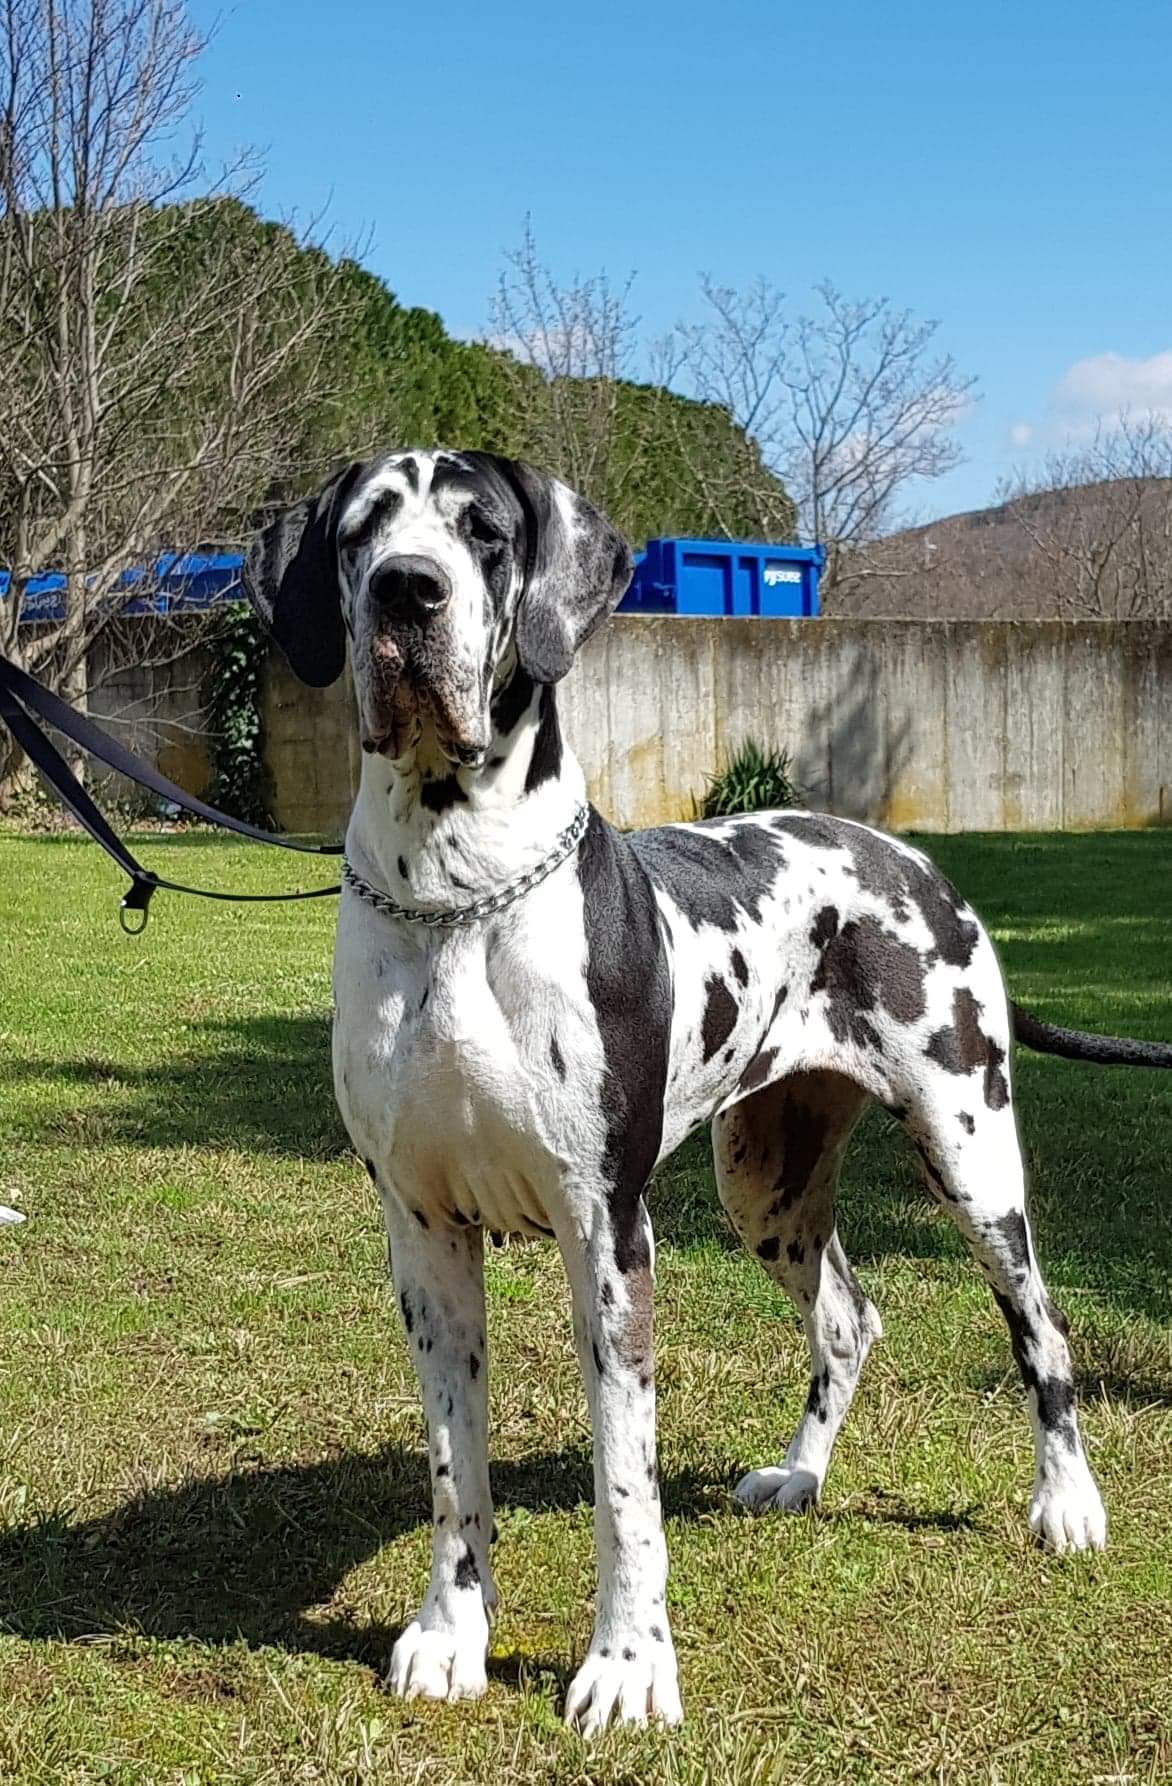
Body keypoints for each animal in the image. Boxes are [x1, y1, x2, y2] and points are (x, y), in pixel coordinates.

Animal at [242, 450, 1164, 1743]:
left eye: (481, 533)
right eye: (363, 530)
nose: (406, 591)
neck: (456, 895)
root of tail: (918, 862)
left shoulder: (606, 1233)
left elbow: (624, 1485)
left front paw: (628, 1665)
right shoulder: (422, 1237)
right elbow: (451, 1466)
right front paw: (450, 1633)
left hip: (970, 1158)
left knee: (1040, 1325)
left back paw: (1065, 1502)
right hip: (764, 1186)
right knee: (847, 1318)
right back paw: (800, 1475)